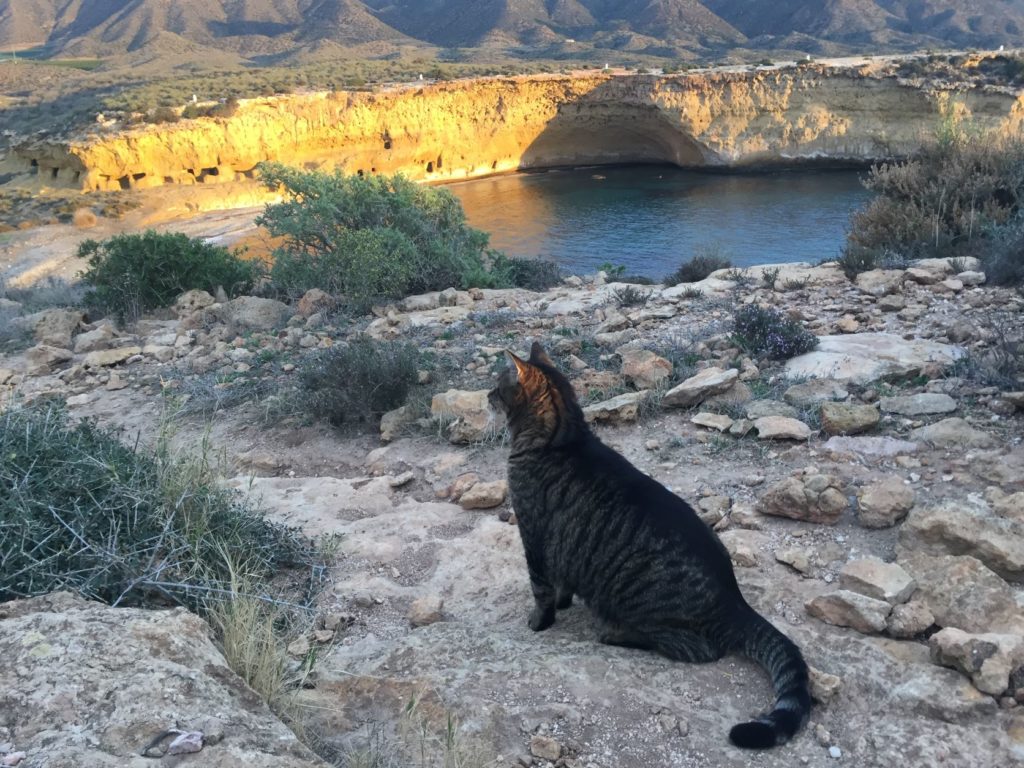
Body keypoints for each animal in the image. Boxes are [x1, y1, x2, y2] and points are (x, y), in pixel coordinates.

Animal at [487, 342, 806, 753]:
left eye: (497, 386)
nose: (486, 395)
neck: (560, 435)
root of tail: (735, 604)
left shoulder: (534, 536)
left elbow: (541, 591)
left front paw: (540, 621)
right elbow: (562, 584)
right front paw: (564, 602)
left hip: (642, 606)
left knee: (699, 650)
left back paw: (617, 634)